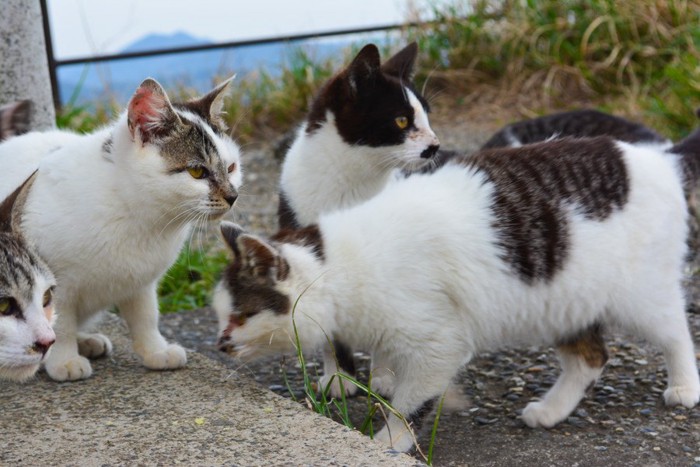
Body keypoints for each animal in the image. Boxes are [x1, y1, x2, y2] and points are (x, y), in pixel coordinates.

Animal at [213, 128, 700, 454]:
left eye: (241, 315)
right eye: (220, 315)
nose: (219, 344)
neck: (344, 266)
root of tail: (659, 157)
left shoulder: (438, 344)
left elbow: (410, 405)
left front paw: (386, 444)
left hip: (640, 293)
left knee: (676, 332)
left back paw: (683, 386)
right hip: (563, 301)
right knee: (591, 358)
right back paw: (550, 411)